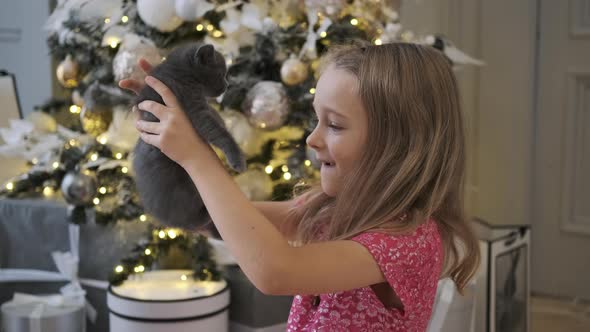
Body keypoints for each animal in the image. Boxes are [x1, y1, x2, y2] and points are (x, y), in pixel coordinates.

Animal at [133, 43, 246, 231]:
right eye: (222, 74)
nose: (227, 85)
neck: (180, 72)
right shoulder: (191, 103)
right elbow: (217, 131)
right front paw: (237, 160)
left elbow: (213, 115)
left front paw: (221, 118)